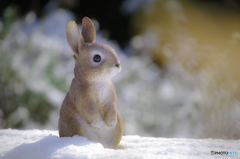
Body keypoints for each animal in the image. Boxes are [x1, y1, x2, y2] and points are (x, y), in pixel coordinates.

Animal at [58, 16, 124, 148]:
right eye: (96, 58)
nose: (117, 64)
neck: (97, 82)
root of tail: (102, 144)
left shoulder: (111, 99)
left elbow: (111, 107)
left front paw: (110, 123)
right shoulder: (83, 99)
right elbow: (91, 111)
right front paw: (99, 124)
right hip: (76, 125)